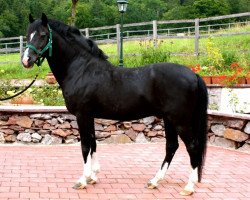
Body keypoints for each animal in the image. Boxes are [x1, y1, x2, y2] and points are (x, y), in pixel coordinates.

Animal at [22, 14, 208, 195]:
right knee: (171, 146)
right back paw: (154, 181)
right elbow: (93, 143)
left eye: (43, 35)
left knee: (192, 147)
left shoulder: (82, 115)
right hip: (169, 119)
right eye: (28, 34)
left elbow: (85, 146)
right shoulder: (90, 116)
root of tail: (194, 75)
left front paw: (82, 180)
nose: (26, 60)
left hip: (180, 121)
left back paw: (189, 187)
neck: (81, 70)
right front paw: (93, 177)